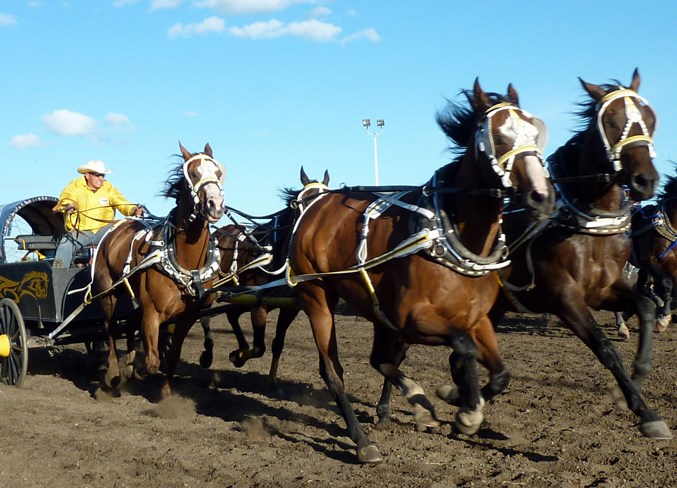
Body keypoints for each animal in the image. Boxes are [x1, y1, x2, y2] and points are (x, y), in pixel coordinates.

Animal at [92, 143, 226, 394]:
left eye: (219, 172)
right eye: (192, 174)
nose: (215, 205)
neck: (184, 262)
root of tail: (113, 230)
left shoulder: (188, 315)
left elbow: (173, 355)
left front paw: (166, 392)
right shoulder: (152, 311)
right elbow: (153, 360)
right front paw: (140, 370)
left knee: (128, 325)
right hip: (107, 292)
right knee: (110, 328)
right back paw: (114, 373)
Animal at [198, 168, 330, 388]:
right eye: (299, 203)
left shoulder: (288, 307)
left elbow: (277, 343)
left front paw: (271, 381)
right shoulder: (259, 306)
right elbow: (260, 347)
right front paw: (237, 356)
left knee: (231, 315)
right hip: (211, 291)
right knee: (204, 315)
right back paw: (207, 353)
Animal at [286, 78, 556, 464]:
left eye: (535, 132)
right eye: (498, 136)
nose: (541, 197)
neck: (452, 237)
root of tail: (316, 209)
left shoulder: (477, 319)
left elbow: (501, 373)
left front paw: (457, 400)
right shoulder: (414, 319)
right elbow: (464, 348)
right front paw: (464, 409)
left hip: (377, 313)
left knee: (380, 359)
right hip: (317, 296)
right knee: (332, 370)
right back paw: (362, 440)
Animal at [486, 70, 672, 440]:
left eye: (650, 118)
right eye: (611, 121)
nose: (644, 180)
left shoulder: (605, 289)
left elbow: (645, 307)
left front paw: (633, 381)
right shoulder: (565, 297)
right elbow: (606, 349)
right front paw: (642, 409)